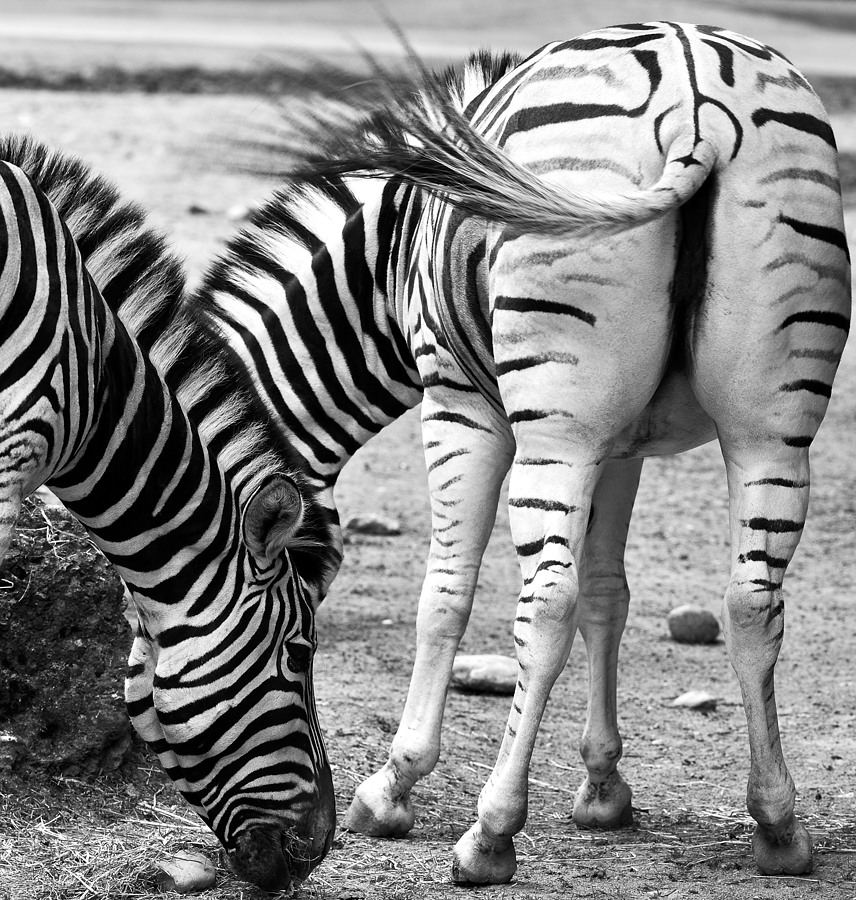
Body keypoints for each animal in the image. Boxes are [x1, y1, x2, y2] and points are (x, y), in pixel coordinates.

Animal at [210, 22, 850, 883]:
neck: (387, 258)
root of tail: (695, 102)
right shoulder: (622, 445)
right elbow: (610, 595)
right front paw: (603, 787)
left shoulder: (458, 401)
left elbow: (446, 596)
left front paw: (393, 787)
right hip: (771, 423)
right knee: (751, 603)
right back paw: (779, 826)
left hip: (556, 423)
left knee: (545, 603)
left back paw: (489, 833)